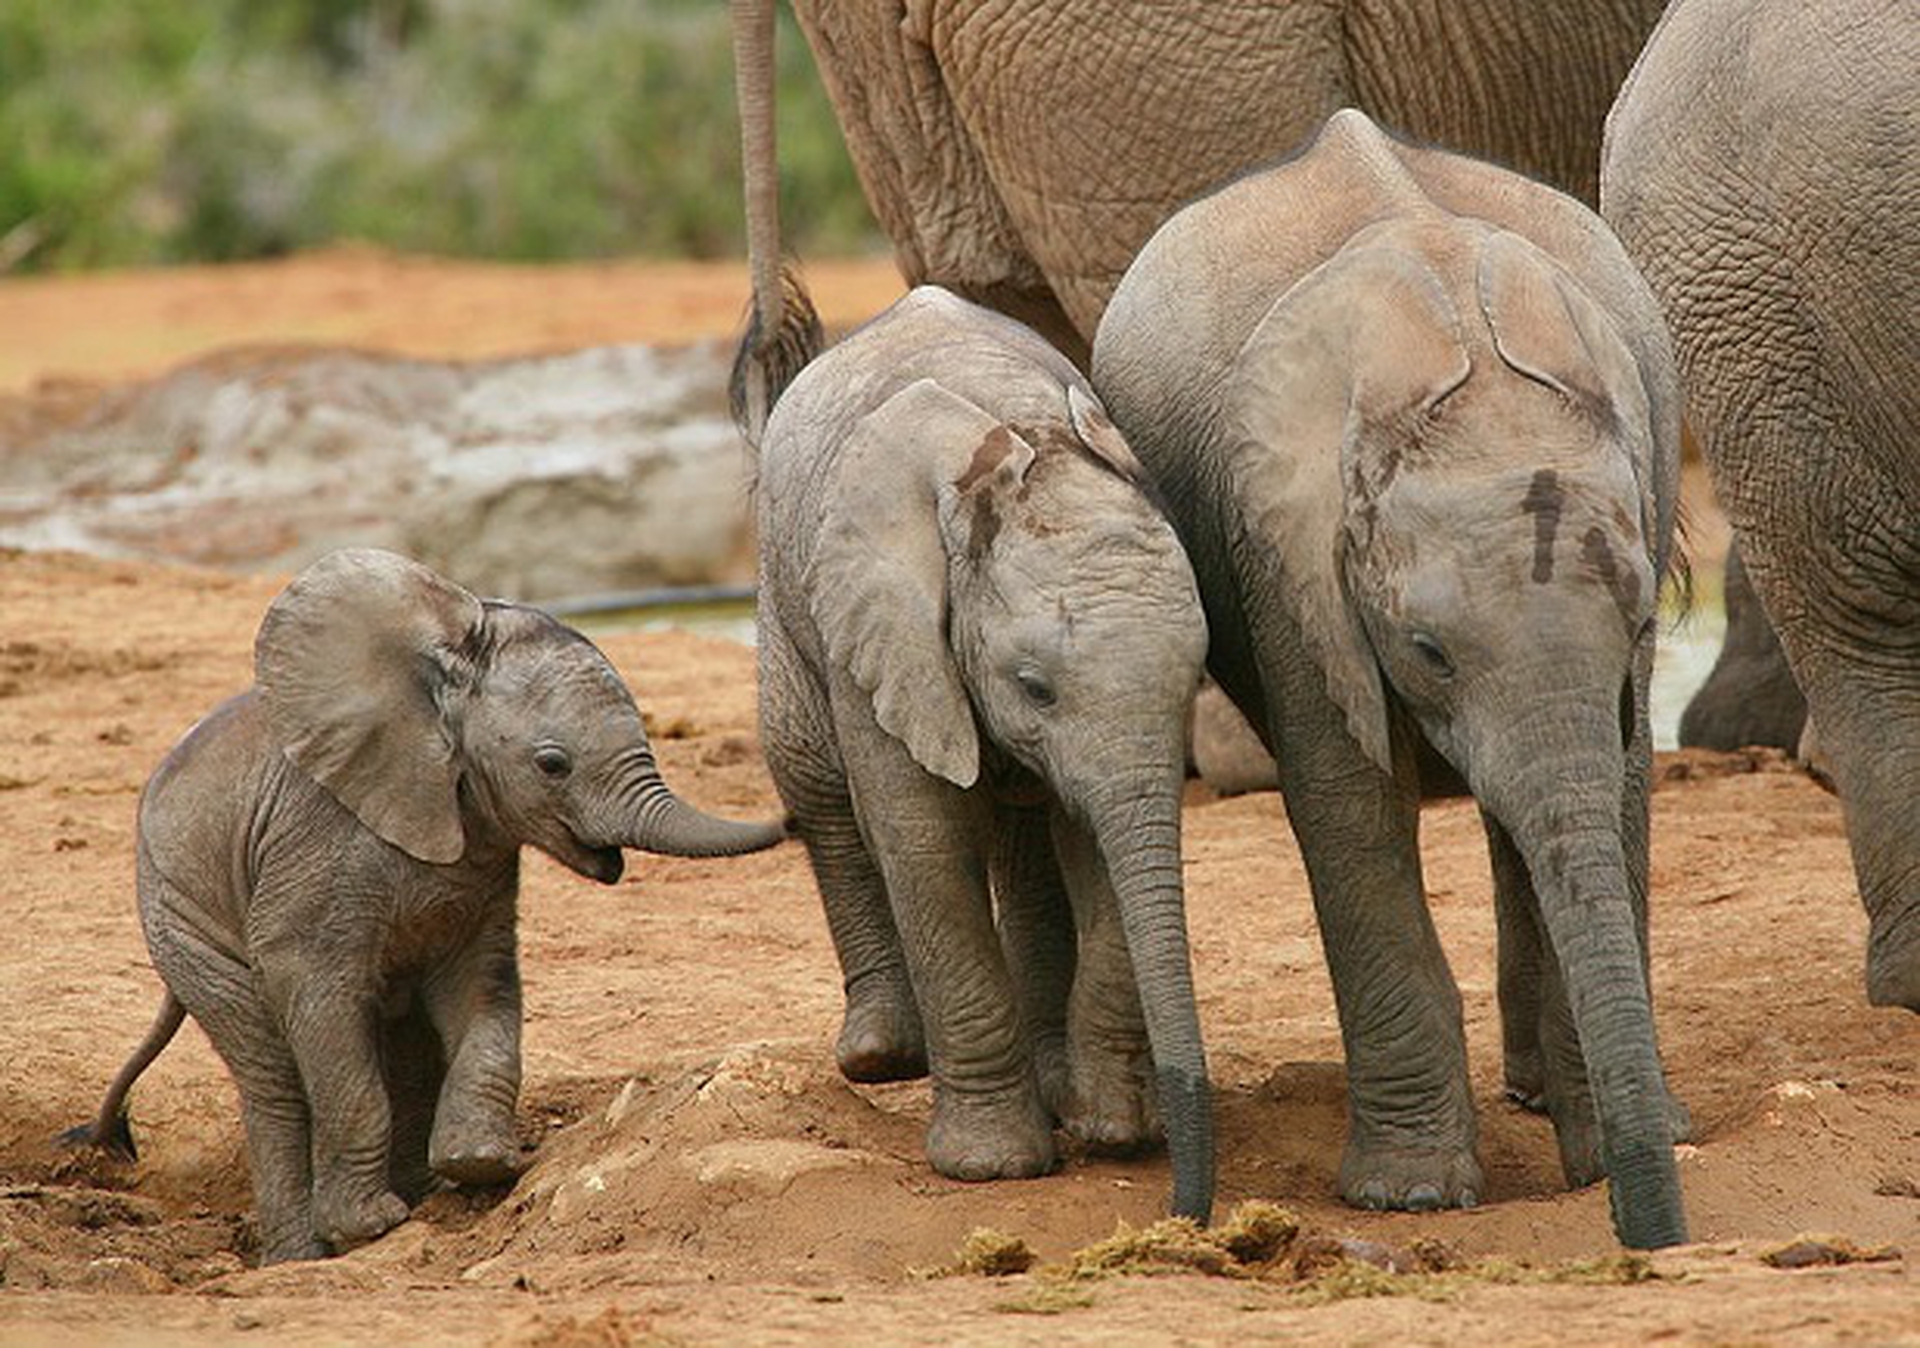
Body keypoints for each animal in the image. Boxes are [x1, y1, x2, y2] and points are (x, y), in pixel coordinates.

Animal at [63, 549, 787, 1264]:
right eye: (552, 764)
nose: (794, 815)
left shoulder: (483, 866)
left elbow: (482, 987)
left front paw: (482, 1165)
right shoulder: (316, 851)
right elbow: (318, 995)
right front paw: (369, 1227)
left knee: (401, 1045)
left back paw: (418, 1197)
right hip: (183, 926)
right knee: (273, 1077)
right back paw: (302, 1256)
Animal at [1093, 109, 1691, 1248]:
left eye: (1644, 618)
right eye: (1427, 651)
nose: (1655, 1235)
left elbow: (1624, 785)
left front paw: (1597, 1161)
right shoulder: (1287, 556)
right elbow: (1346, 803)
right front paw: (1409, 1195)